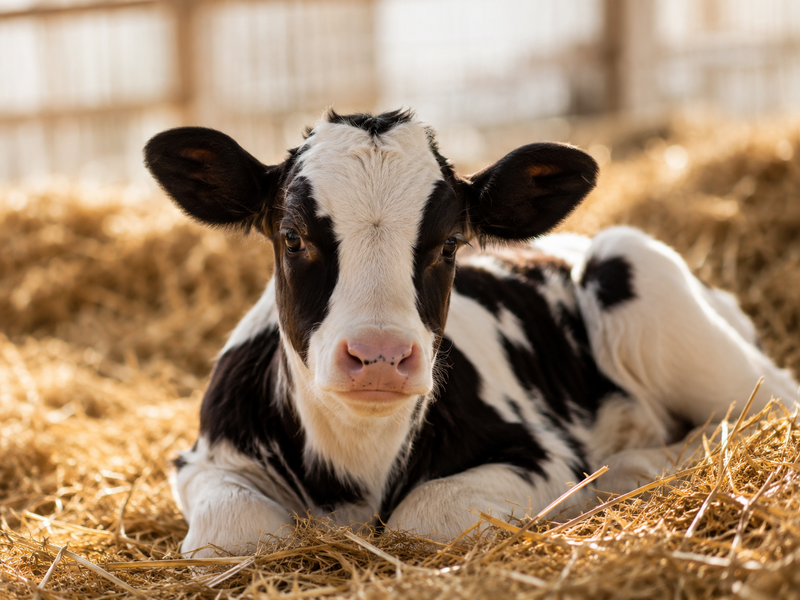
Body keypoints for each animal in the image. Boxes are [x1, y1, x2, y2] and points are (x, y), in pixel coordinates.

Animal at [144, 109, 799, 557]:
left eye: (450, 243)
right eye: (291, 236)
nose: (380, 355)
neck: (357, 464)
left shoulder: (542, 455)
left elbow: (424, 515)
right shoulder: (201, 460)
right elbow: (235, 532)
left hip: (642, 274)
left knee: (769, 409)